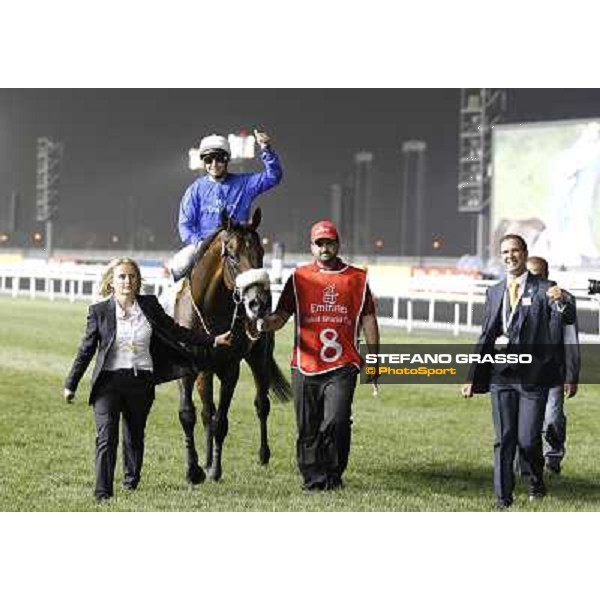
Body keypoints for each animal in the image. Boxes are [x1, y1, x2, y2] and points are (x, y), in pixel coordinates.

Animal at [172, 207, 292, 482]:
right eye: (233, 255)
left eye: (261, 253)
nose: (258, 303)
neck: (209, 312)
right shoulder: (189, 367)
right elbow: (189, 414)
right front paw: (194, 469)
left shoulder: (230, 369)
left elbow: (221, 421)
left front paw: (215, 471)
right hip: (205, 371)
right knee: (207, 411)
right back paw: (206, 460)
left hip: (259, 358)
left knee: (261, 404)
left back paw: (262, 455)